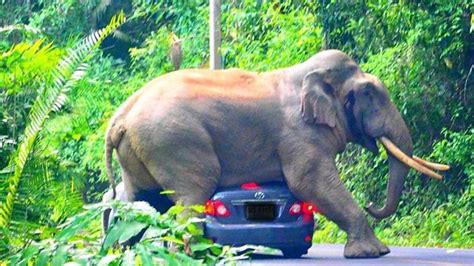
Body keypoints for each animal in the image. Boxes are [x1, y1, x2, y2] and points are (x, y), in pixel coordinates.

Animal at [104, 49, 448, 258]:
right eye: (368, 93)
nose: (372, 204)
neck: (307, 74)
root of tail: (121, 116)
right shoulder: (299, 133)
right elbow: (309, 183)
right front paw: (374, 253)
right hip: (175, 142)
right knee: (192, 193)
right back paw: (197, 255)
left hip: (141, 150)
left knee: (139, 199)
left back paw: (125, 252)